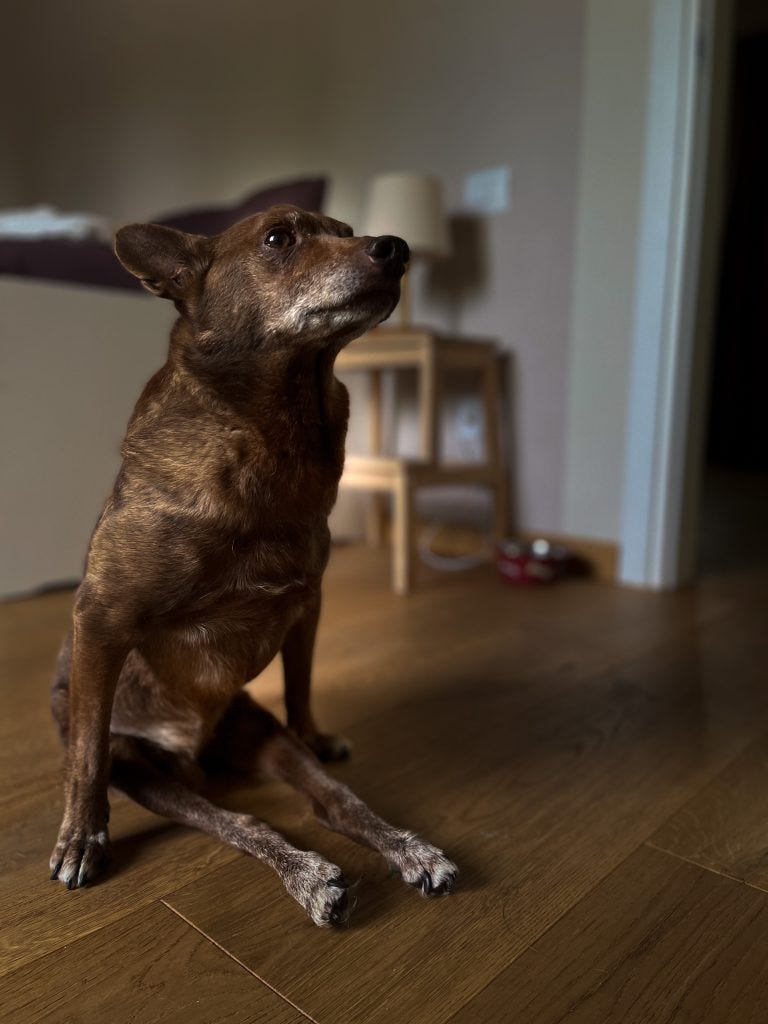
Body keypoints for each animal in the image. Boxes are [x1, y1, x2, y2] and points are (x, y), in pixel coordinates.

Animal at [49, 205, 457, 925]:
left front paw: (318, 733)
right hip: (146, 769)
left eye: (345, 230)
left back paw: (406, 848)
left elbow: (301, 688)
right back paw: (310, 876)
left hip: (256, 731)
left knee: (334, 801)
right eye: (278, 239)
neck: (278, 433)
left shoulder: (307, 604)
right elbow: (88, 755)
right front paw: (81, 838)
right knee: (238, 821)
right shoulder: (101, 615)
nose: (396, 248)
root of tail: (198, 755)